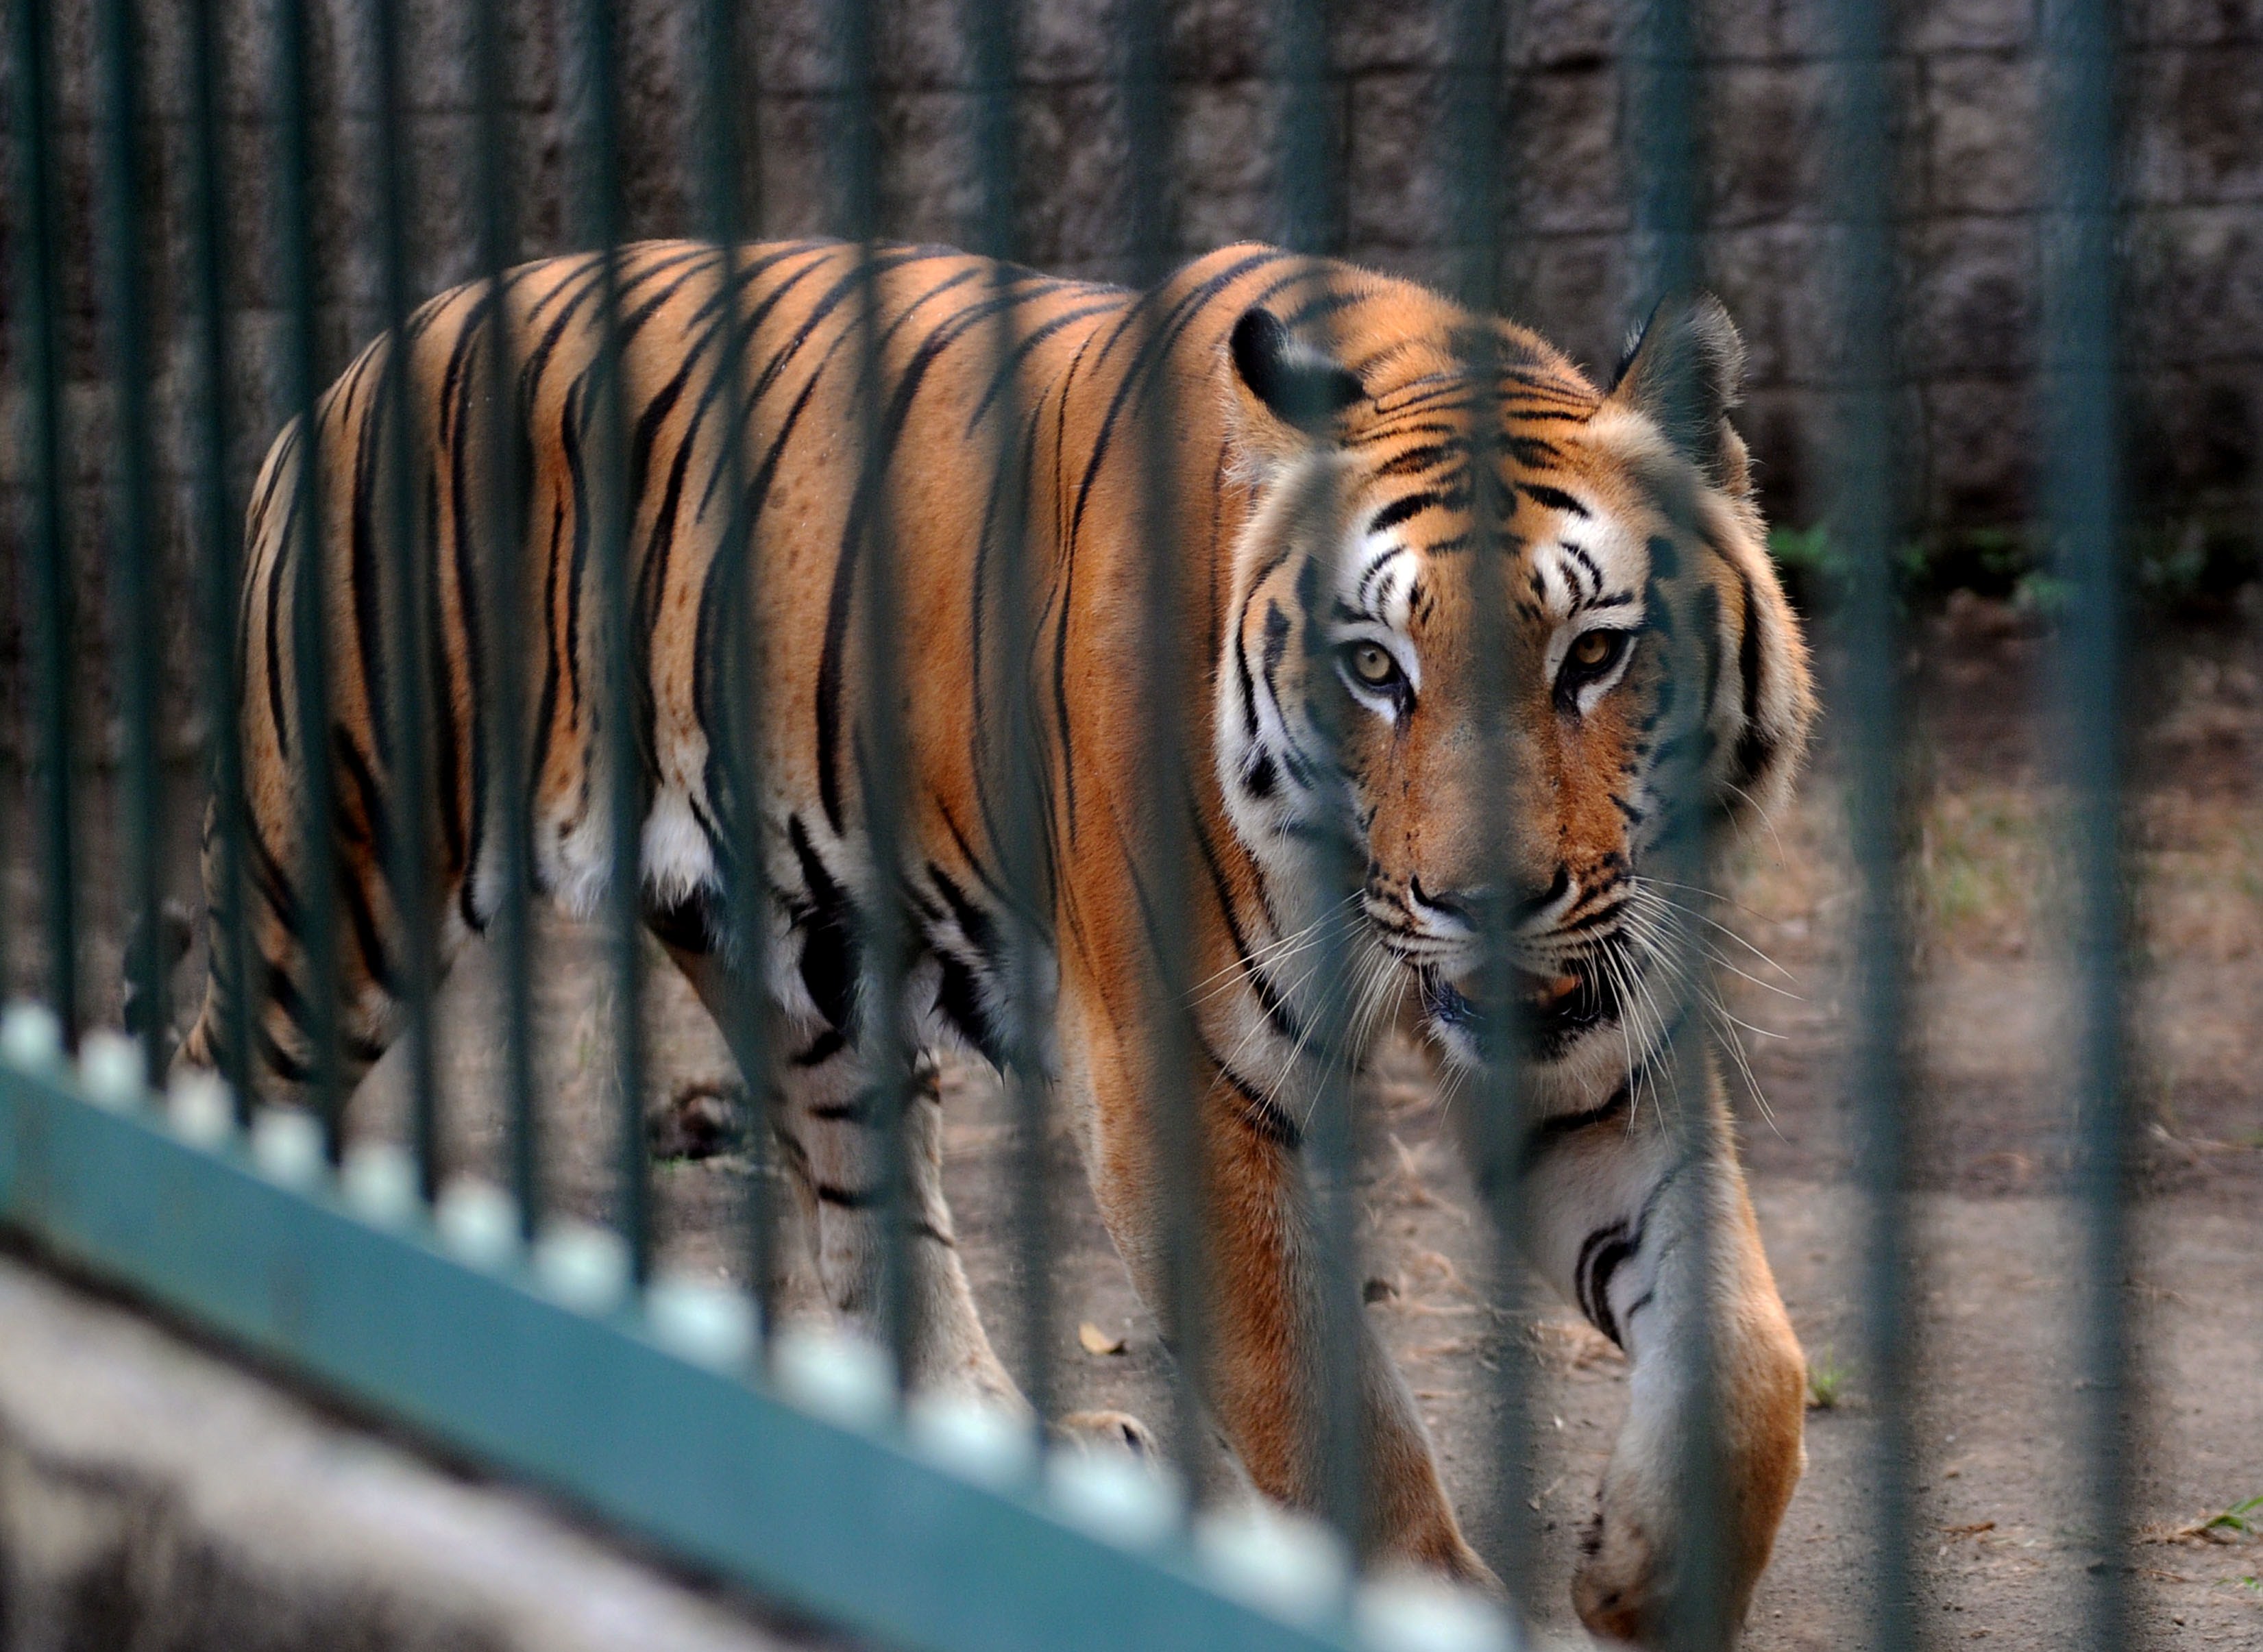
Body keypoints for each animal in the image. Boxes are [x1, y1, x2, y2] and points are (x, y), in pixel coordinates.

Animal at [167, 237, 1810, 1638]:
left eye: (1593, 653)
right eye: (1372, 667)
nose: (1483, 902)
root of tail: (353, 368)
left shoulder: (1595, 1052)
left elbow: (1750, 1363)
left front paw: (1644, 1574)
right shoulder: (1175, 1091)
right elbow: (1332, 1418)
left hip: (805, 971)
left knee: (871, 1207)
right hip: (337, 893)